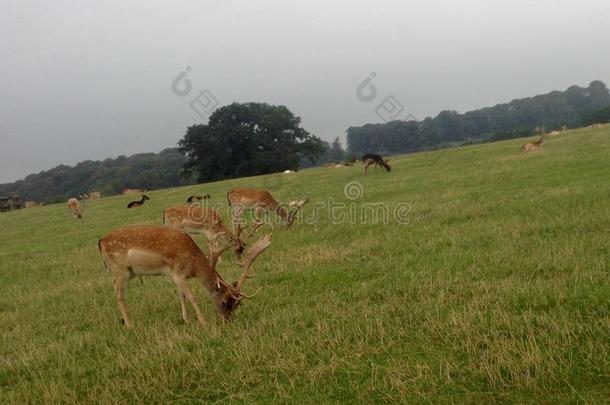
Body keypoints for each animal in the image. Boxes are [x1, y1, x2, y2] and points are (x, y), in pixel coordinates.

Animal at [98, 226, 270, 326]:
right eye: (223, 302)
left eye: (237, 305)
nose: (228, 321)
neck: (193, 265)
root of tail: (100, 242)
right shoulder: (178, 273)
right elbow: (191, 296)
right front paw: (203, 322)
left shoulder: (177, 276)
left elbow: (182, 296)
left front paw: (186, 319)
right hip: (120, 270)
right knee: (119, 295)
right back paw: (129, 325)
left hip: (126, 272)